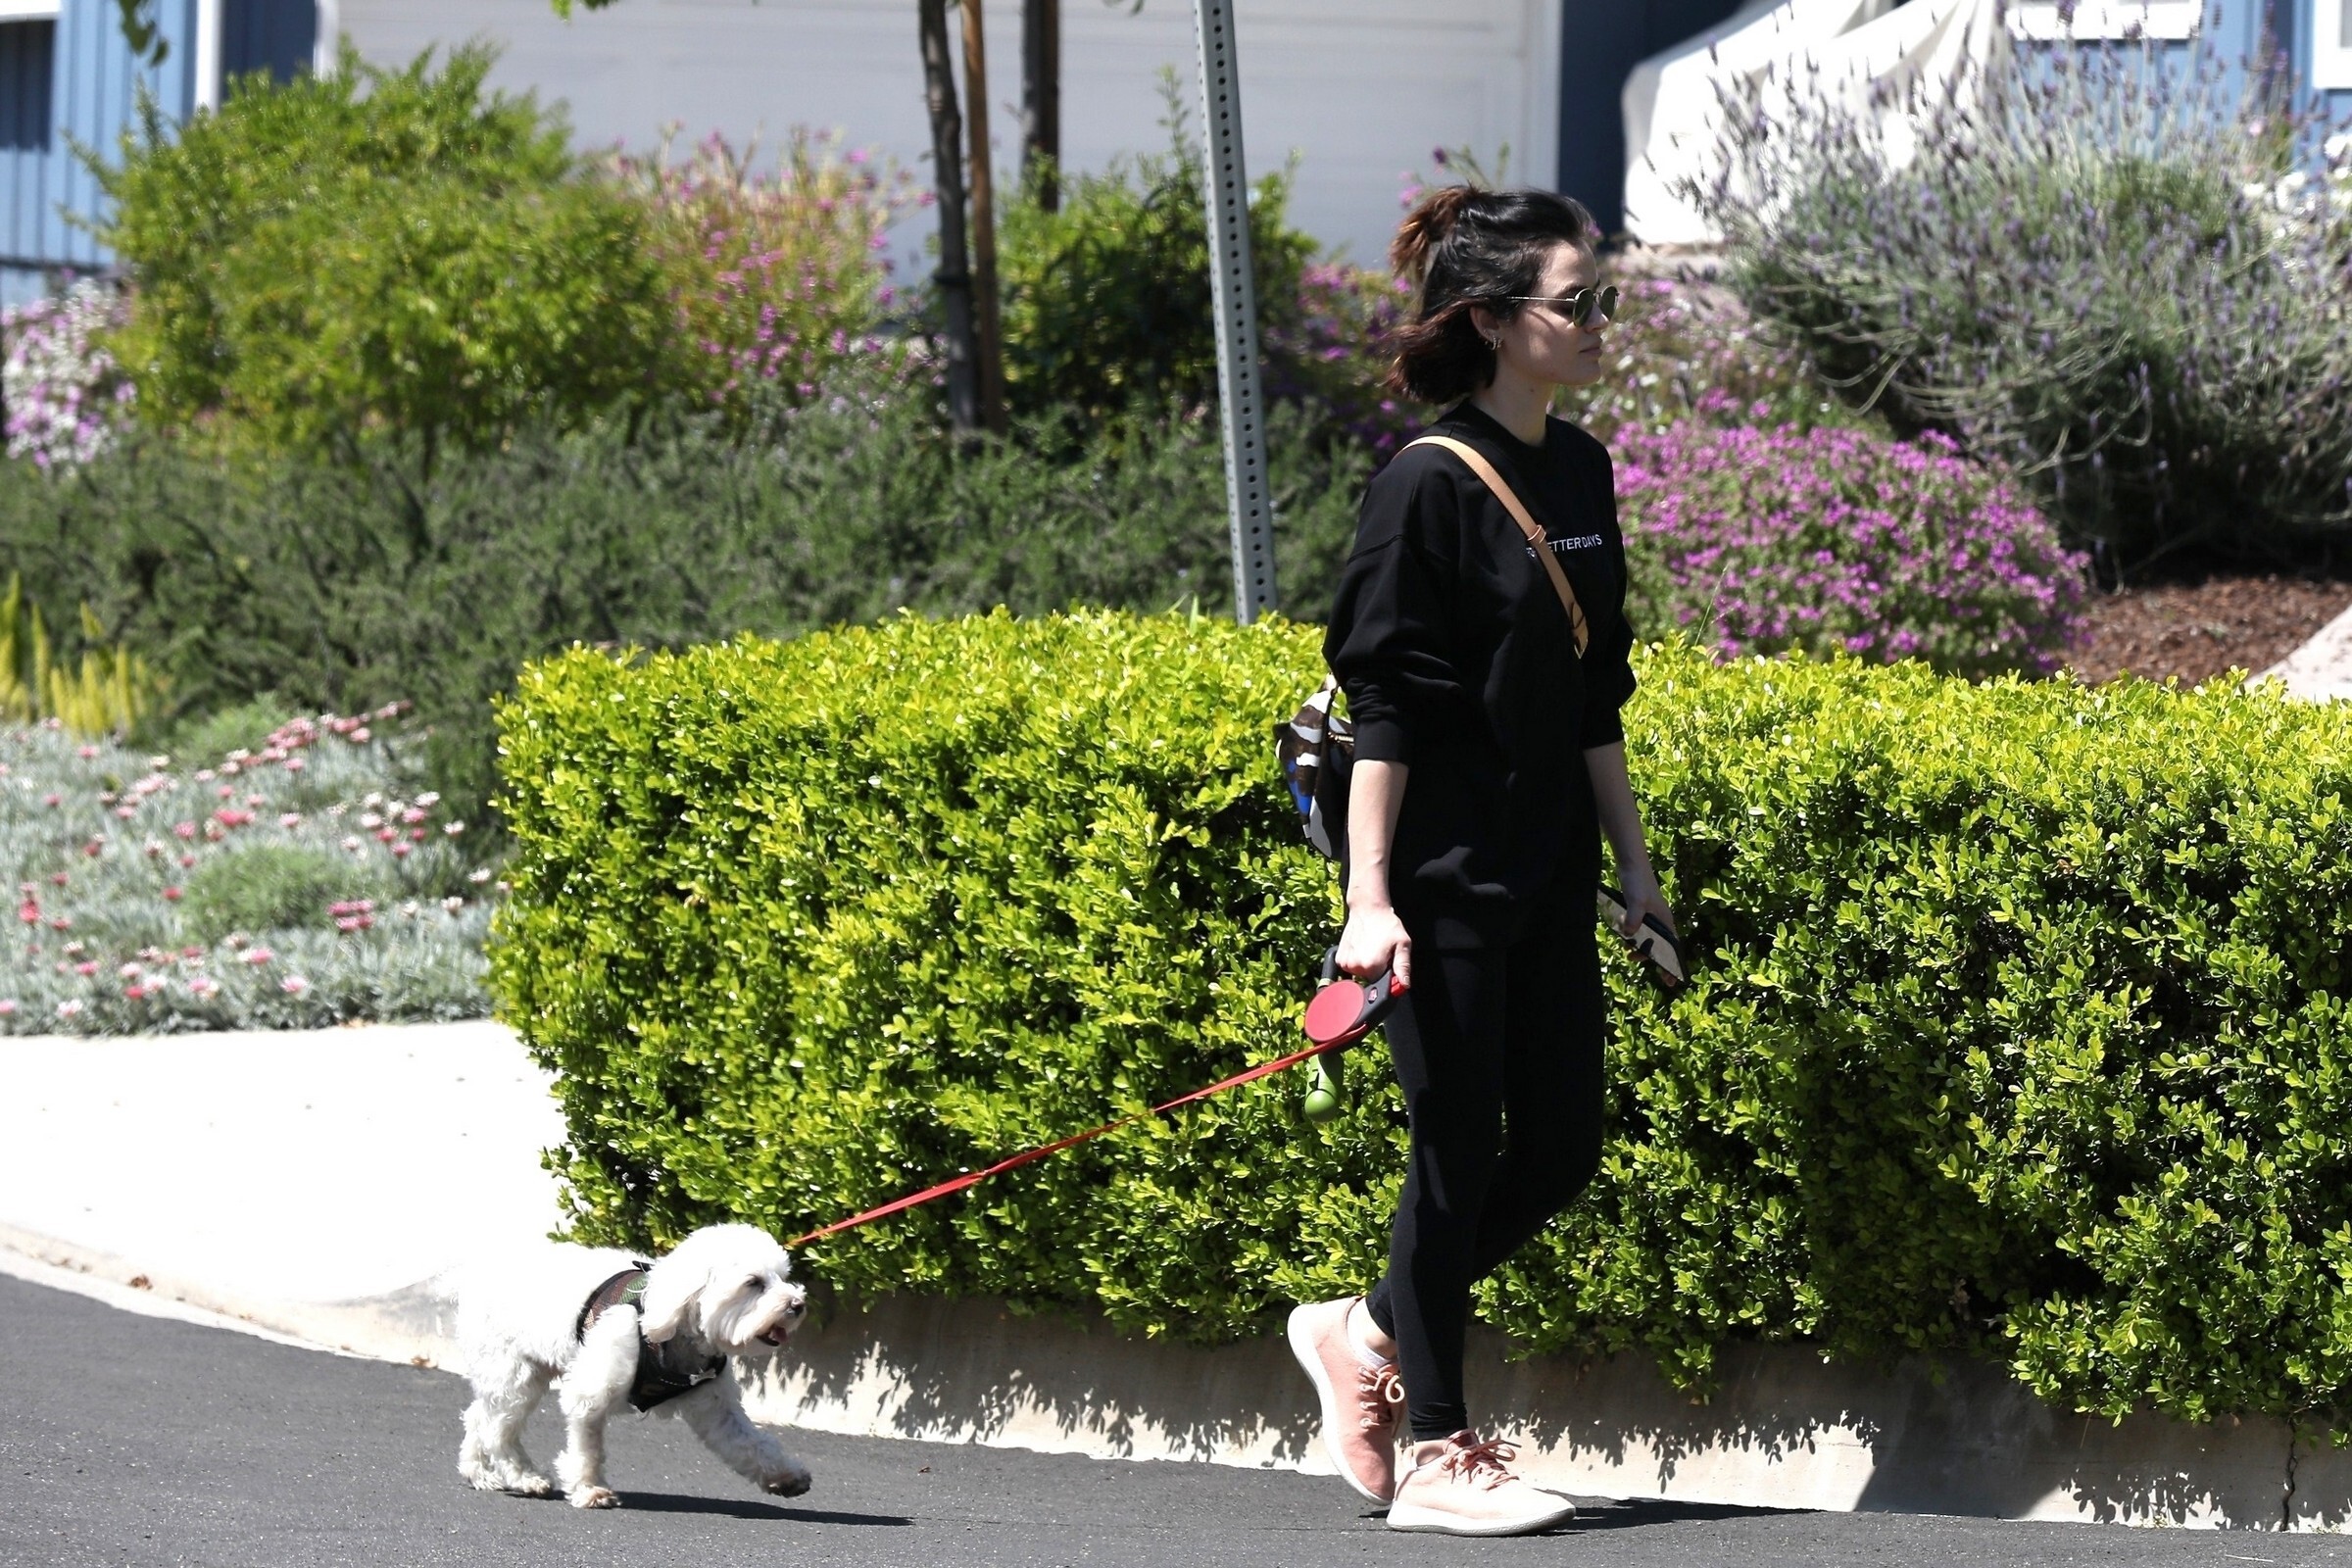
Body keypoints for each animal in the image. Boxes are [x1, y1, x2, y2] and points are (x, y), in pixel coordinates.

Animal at [454, 1223, 811, 1509]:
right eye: (753, 1282)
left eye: (783, 1277)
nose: (798, 1304)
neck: (673, 1329)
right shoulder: (589, 1395)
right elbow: (587, 1447)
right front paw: (589, 1488)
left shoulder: (716, 1408)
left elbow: (750, 1443)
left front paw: (785, 1475)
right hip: (515, 1375)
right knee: (496, 1431)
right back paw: (524, 1476)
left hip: (514, 1375)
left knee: (478, 1416)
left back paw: (478, 1472)